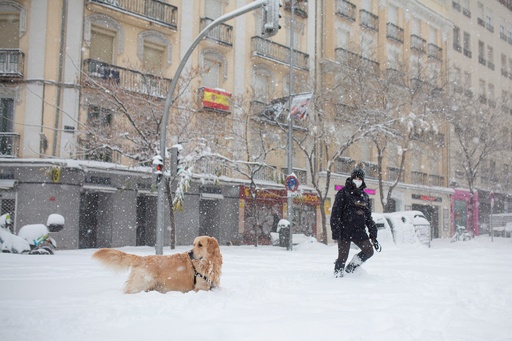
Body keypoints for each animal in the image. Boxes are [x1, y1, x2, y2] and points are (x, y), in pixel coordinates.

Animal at [93, 235, 221, 294]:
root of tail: (142, 258)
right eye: (194, 244)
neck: (209, 263)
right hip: (142, 283)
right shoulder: (201, 288)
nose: (189, 252)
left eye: (200, 245)